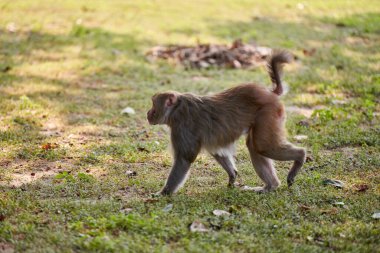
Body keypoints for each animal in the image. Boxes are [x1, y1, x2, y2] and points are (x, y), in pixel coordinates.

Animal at [147, 50, 308, 195]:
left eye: (154, 105)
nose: (148, 113)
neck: (176, 109)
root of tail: (270, 93)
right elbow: (218, 151)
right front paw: (232, 176)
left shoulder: (182, 127)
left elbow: (185, 158)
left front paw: (163, 193)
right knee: (254, 146)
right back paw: (270, 186)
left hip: (268, 113)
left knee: (263, 146)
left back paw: (300, 157)